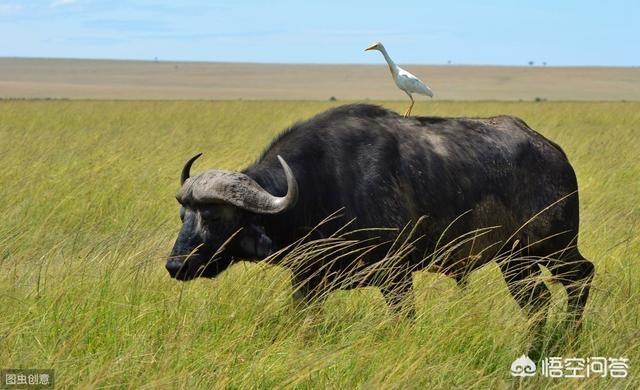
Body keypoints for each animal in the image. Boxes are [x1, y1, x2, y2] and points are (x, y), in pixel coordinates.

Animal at [166, 104, 596, 356]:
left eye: (215, 215)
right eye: (184, 214)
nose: (175, 266)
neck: (320, 185)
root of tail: (554, 153)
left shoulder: (397, 276)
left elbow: (405, 320)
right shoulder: (308, 281)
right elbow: (304, 322)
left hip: (554, 246)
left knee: (581, 277)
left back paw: (569, 339)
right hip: (515, 260)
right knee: (538, 302)